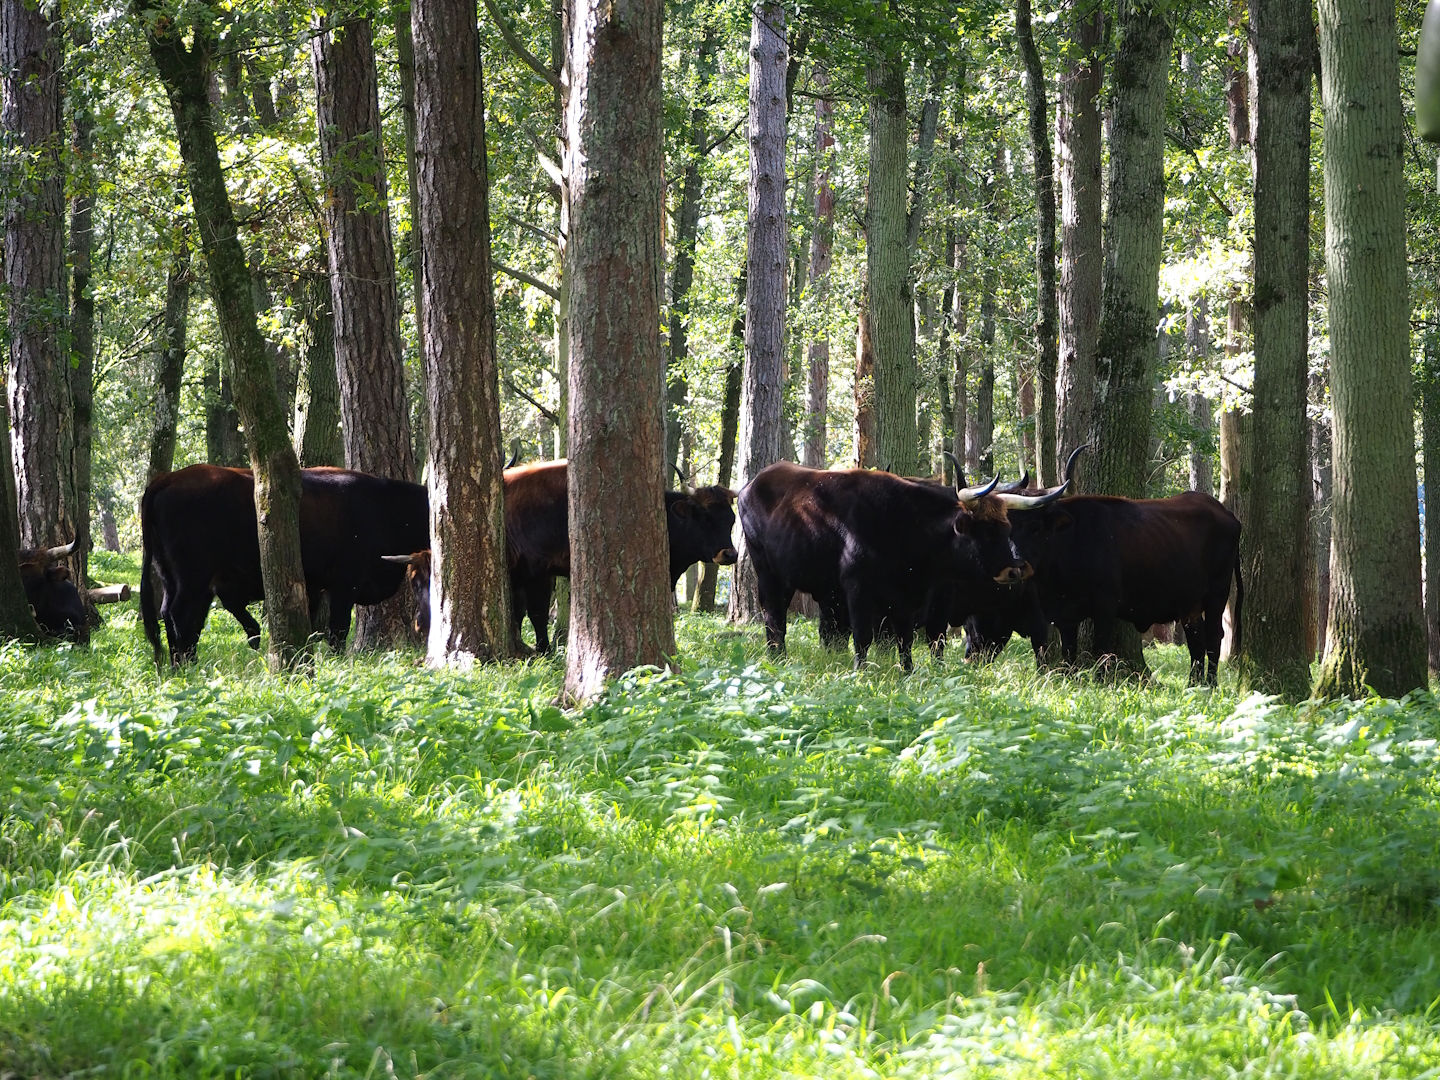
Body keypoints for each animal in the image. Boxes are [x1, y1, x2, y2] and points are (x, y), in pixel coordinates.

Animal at [140, 465, 429, 667]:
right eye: (416, 582)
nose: (423, 623)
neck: (386, 507)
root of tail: (167, 479)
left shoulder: (315, 588)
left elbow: (311, 627)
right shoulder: (344, 585)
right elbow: (337, 629)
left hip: (172, 577)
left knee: (174, 616)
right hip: (193, 579)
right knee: (181, 616)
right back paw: (188, 667)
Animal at [386, 459, 739, 650]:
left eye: (730, 519)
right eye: (705, 518)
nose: (730, 554)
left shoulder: (535, 577)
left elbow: (531, 614)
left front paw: (540, 649)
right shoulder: (532, 575)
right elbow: (530, 613)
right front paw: (538, 650)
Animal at [736, 462, 1068, 671]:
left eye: (1007, 527)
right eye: (985, 531)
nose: (1014, 570)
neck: (904, 525)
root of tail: (752, 484)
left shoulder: (912, 597)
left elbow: (907, 640)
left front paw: (907, 672)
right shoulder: (858, 589)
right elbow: (863, 636)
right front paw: (861, 672)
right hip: (769, 573)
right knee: (774, 616)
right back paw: (777, 658)